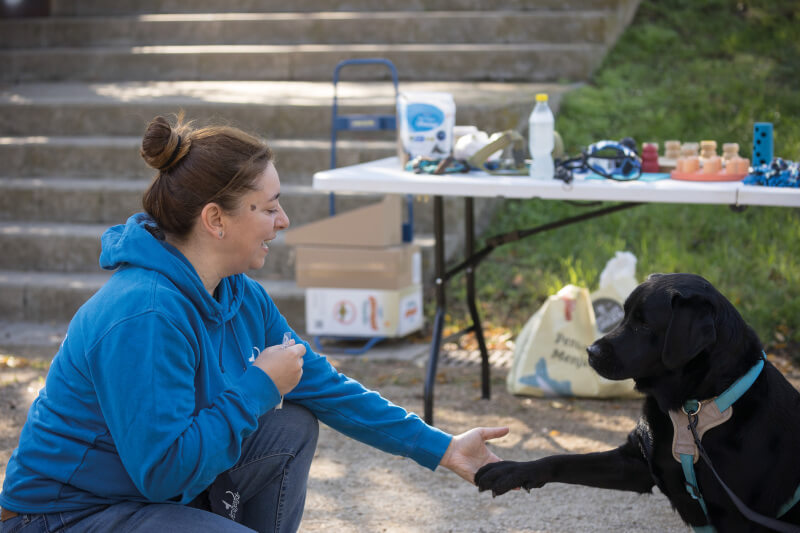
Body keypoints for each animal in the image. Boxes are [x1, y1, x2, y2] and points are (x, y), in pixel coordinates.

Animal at [476, 272, 800, 528]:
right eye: (625, 316)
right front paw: (511, 471)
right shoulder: (637, 464)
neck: (691, 407)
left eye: (644, 325)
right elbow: (563, 459)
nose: (591, 351)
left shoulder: (734, 516)